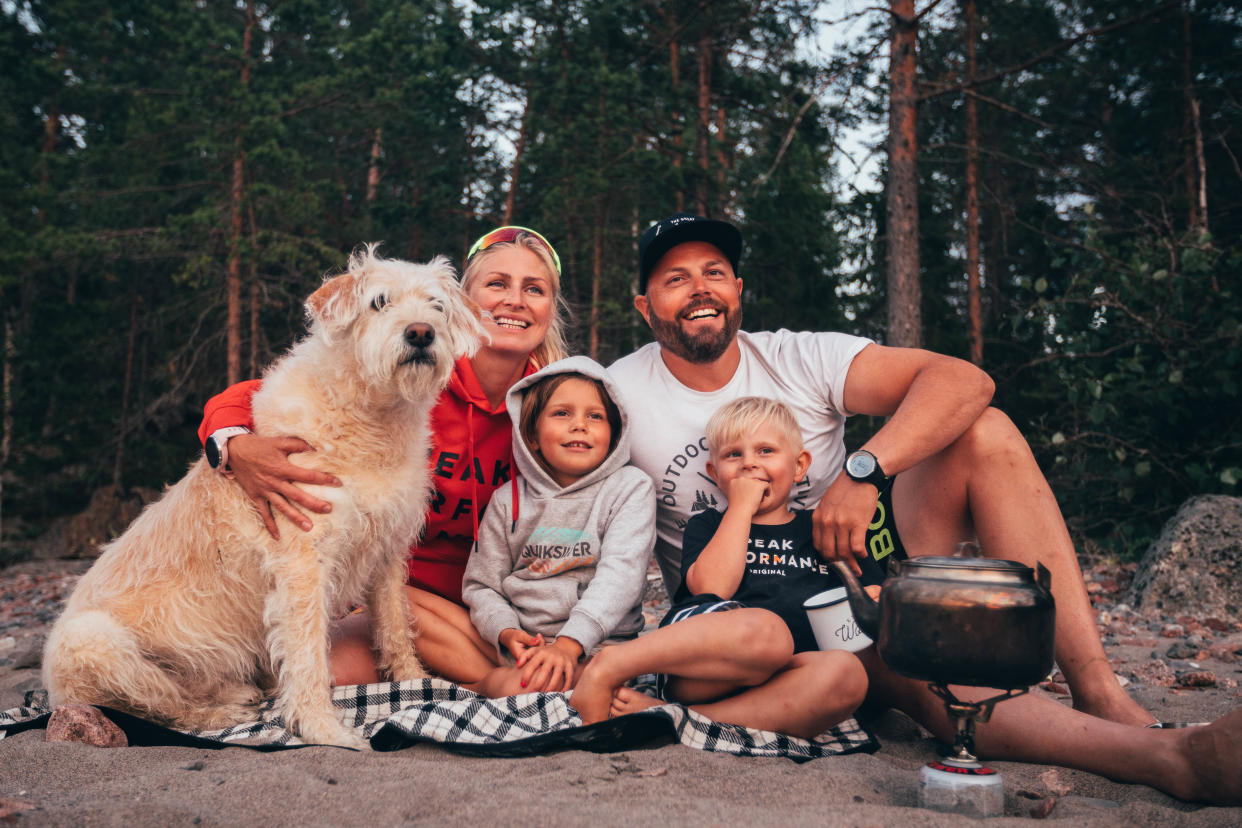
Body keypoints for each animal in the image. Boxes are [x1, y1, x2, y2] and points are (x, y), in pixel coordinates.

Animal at [43, 244, 481, 744]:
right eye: (379, 302)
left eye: (436, 306)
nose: (421, 333)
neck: (372, 417)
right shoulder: (304, 560)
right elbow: (308, 652)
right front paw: (323, 728)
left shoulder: (387, 550)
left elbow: (394, 626)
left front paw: (415, 685)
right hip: (92, 640)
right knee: (162, 707)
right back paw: (221, 714)